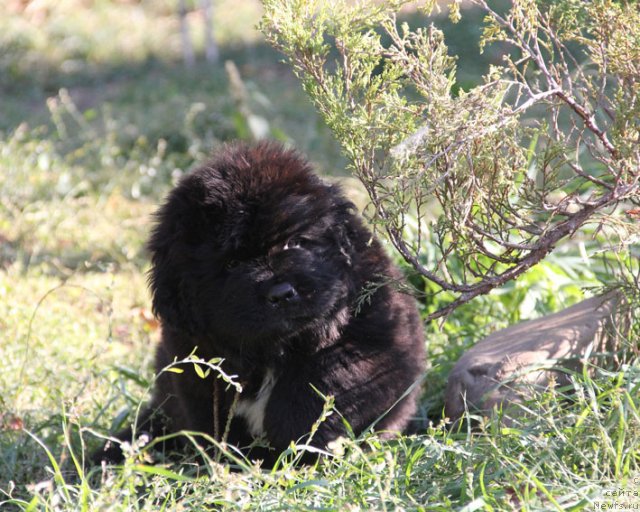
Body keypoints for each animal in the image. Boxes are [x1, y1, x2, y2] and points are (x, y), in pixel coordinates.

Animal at [96, 142, 424, 466]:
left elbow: (327, 379)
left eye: (295, 242)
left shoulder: (374, 336)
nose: (280, 293)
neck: (271, 351)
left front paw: (295, 445)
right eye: (230, 264)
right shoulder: (194, 359)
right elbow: (213, 419)